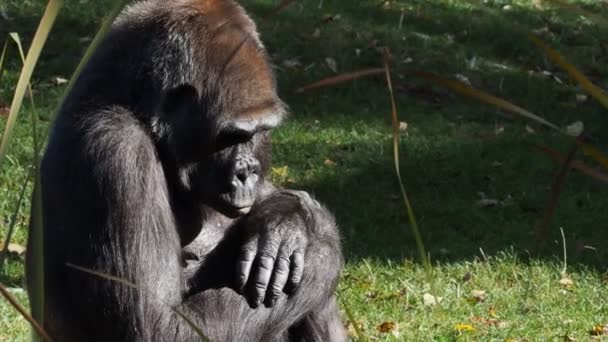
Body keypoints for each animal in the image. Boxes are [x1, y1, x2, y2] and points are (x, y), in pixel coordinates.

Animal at [26, 1, 346, 340]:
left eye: (257, 133)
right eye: (232, 136)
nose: (247, 173)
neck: (125, 99)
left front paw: (288, 219)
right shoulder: (116, 148)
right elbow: (160, 327)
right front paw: (322, 248)